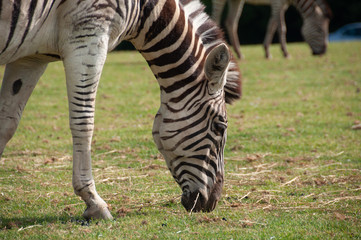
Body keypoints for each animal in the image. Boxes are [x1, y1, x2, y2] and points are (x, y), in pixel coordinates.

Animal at [0, 0, 242, 219]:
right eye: (220, 127)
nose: (212, 202)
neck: (143, 8)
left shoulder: (31, 56)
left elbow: (7, 121)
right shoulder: (89, 35)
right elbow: (84, 122)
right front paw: (94, 203)